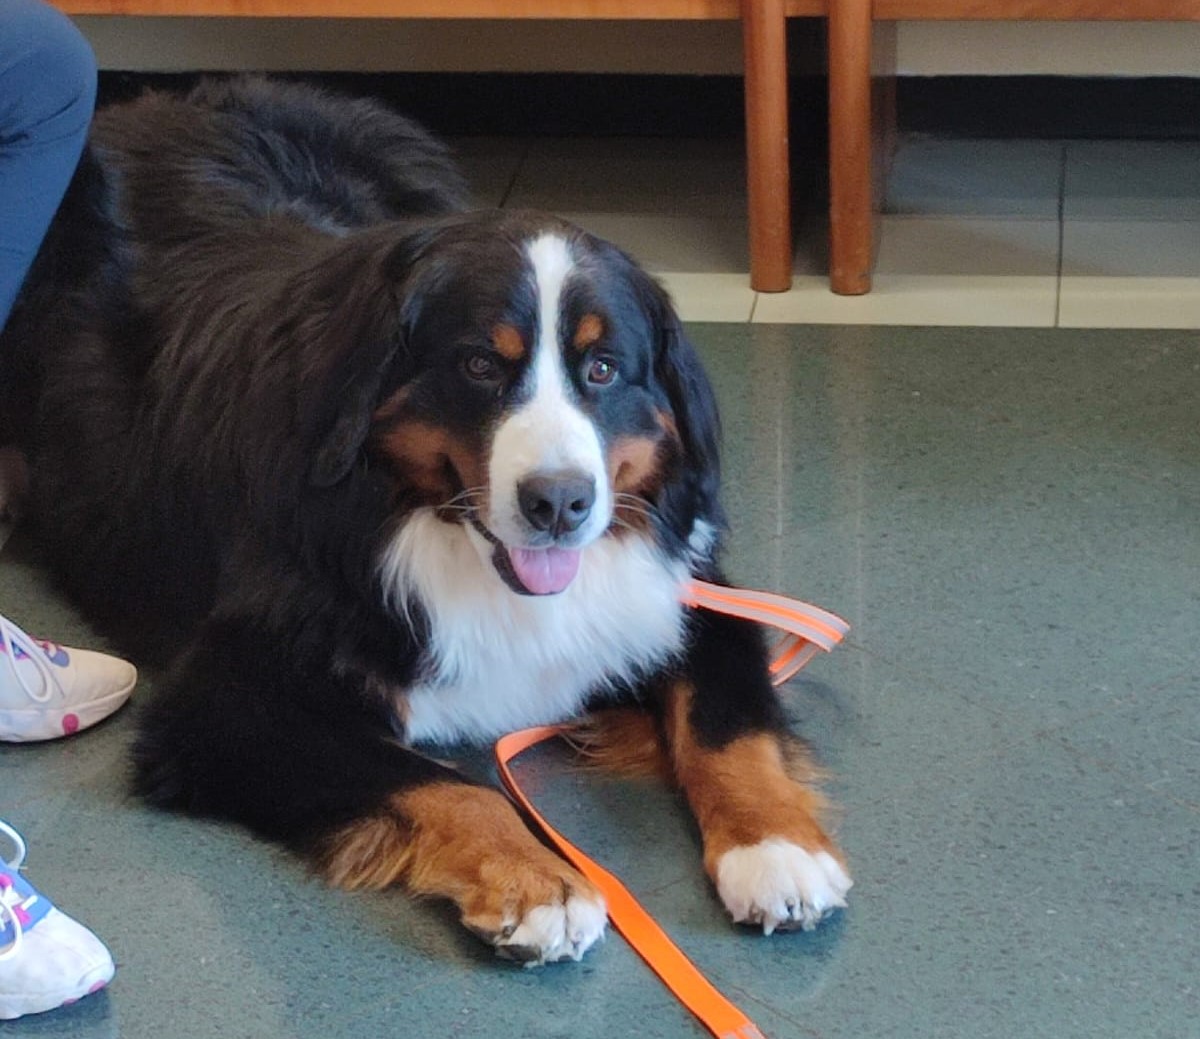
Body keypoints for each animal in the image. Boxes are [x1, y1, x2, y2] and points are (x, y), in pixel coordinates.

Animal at [4, 76, 859, 959]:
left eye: (602, 367)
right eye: (480, 364)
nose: (560, 502)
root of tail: (160, 100)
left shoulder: (687, 593)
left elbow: (727, 718)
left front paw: (776, 849)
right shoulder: (222, 701)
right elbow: (442, 782)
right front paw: (538, 881)